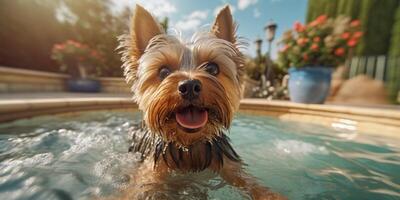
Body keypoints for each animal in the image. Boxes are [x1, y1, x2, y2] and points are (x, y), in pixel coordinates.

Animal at [117, 4, 286, 200]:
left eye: (212, 68)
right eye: (163, 71)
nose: (189, 86)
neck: (189, 147)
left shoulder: (229, 163)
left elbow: (250, 182)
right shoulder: (152, 169)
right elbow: (139, 188)